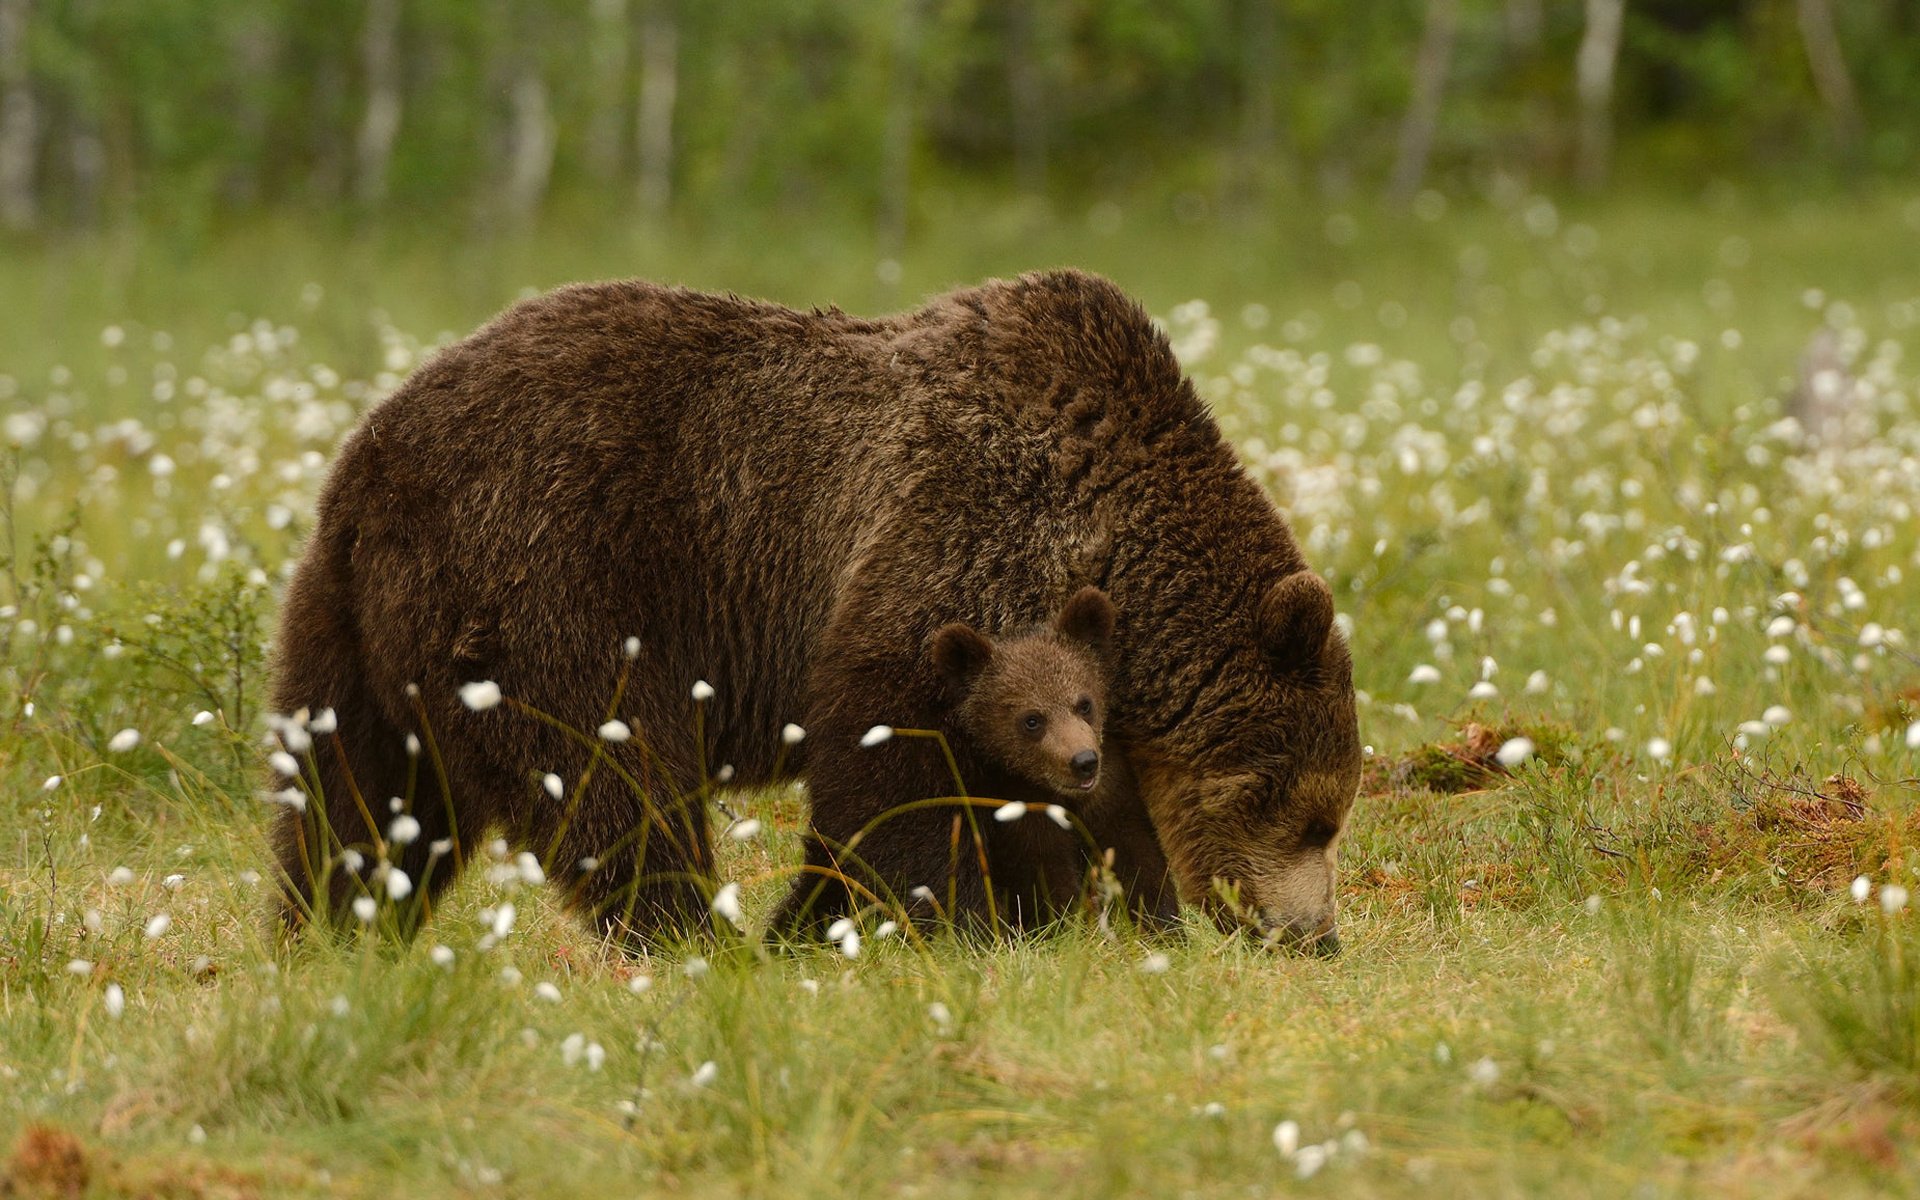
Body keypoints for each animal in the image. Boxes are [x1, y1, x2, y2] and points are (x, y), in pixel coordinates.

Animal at [270, 266, 1359, 948]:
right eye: (1309, 814)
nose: (1313, 938)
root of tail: (374, 450)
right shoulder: (952, 543)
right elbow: (891, 770)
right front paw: (887, 922)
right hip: (550, 574)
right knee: (612, 772)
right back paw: (696, 936)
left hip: (350, 625)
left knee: (353, 796)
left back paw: (327, 930)